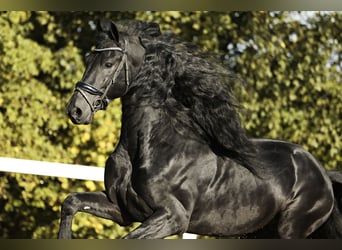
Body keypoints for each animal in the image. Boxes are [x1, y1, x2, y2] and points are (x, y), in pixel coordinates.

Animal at [59, 19, 342, 238]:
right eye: (88, 59)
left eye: (109, 63)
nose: (76, 110)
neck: (151, 146)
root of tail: (322, 174)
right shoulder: (124, 210)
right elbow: (71, 202)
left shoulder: (173, 217)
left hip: (290, 229)